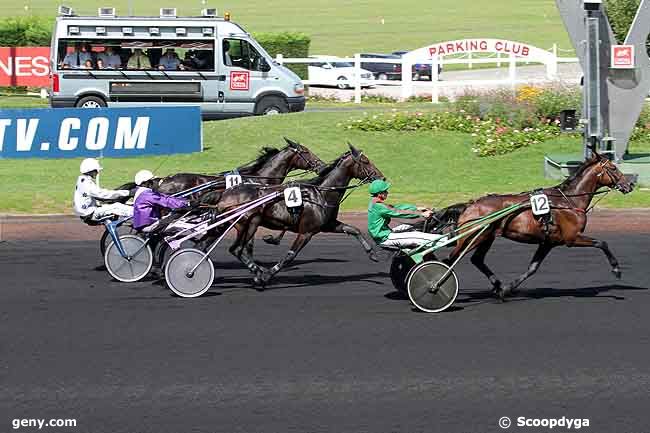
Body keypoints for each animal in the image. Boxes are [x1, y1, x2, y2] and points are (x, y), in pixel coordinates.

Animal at [218, 143, 382, 286]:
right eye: (366, 161)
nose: (382, 177)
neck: (321, 194)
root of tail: (226, 195)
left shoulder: (328, 225)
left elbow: (354, 229)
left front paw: (372, 253)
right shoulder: (306, 232)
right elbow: (290, 255)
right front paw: (266, 275)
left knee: (239, 249)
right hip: (250, 223)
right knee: (237, 249)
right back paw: (258, 272)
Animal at [442, 153, 632, 300]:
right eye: (613, 168)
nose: (630, 185)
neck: (568, 201)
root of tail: (470, 205)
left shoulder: (548, 242)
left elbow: (532, 268)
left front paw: (507, 289)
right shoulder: (571, 238)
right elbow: (602, 243)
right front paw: (616, 269)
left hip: (486, 237)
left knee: (477, 260)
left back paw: (497, 285)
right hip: (473, 238)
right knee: (449, 260)